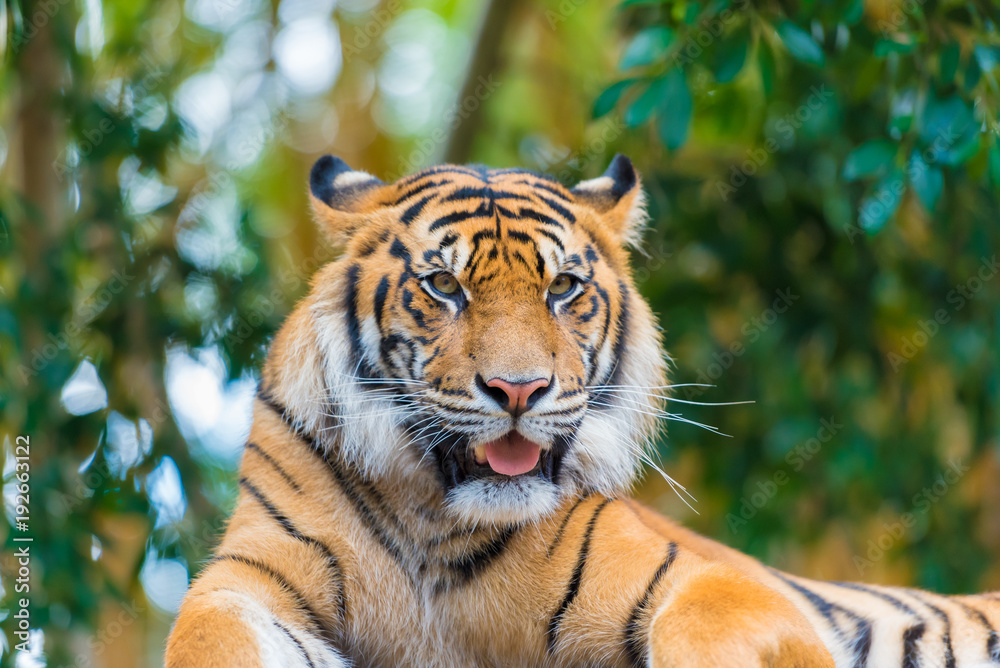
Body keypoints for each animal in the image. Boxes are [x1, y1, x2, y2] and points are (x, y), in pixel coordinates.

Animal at [165, 154, 1000, 667]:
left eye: (562, 288)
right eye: (444, 286)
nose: (518, 390)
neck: (435, 523)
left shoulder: (718, 582)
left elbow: (705, 623)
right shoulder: (248, 578)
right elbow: (203, 634)